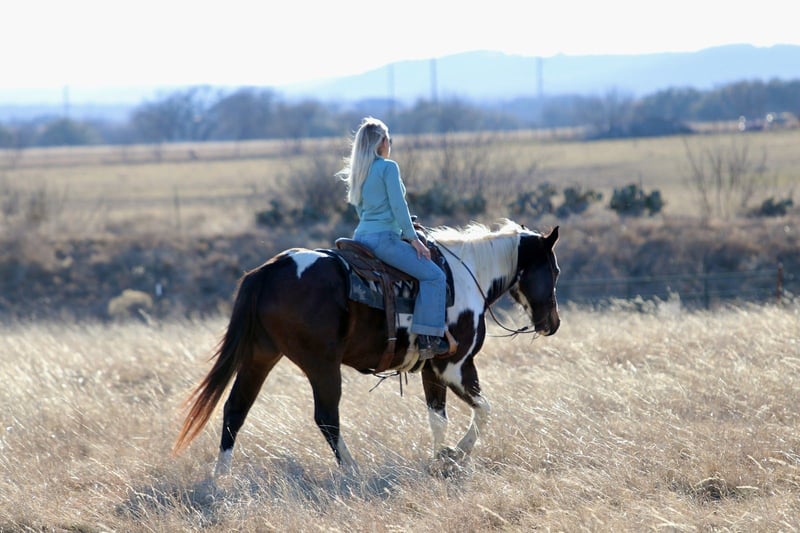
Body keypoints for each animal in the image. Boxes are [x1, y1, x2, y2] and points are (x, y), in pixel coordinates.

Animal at [173, 220, 560, 475]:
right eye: (554, 270)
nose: (552, 324)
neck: (466, 277)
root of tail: (271, 268)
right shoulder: (456, 364)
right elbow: (484, 411)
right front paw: (456, 455)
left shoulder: (432, 369)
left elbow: (438, 418)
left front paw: (440, 460)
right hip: (321, 364)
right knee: (326, 418)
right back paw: (353, 470)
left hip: (260, 356)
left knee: (235, 409)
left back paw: (221, 478)